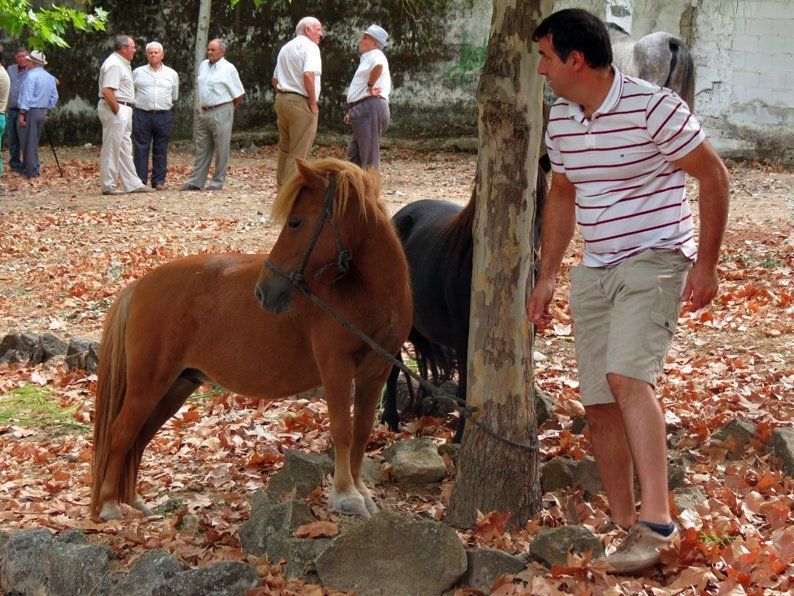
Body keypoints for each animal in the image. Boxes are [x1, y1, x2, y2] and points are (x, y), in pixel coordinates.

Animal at [92, 158, 412, 520]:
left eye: (296, 222)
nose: (264, 291)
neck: (362, 294)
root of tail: (139, 285)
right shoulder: (337, 370)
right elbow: (343, 430)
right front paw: (346, 495)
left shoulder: (375, 373)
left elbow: (362, 432)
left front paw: (360, 491)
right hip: (148, 384)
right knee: (121, 433)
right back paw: (109, 505)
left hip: (176, 386)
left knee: (138, 437)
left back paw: (132, 501)